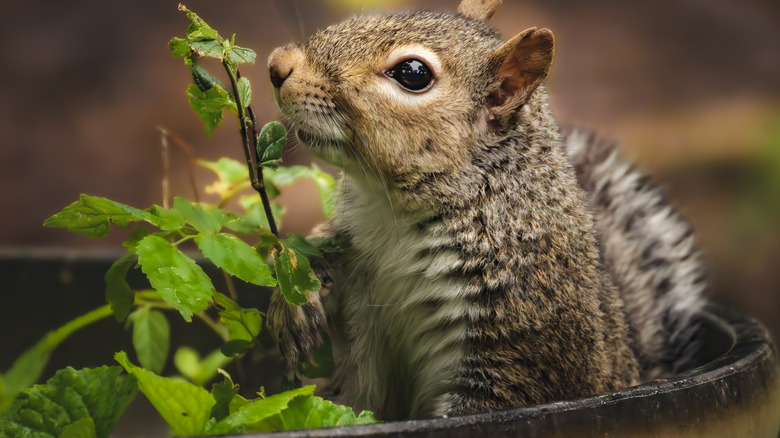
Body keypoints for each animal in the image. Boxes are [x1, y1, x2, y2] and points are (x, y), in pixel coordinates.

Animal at [266, 0, 707, 421]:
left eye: (412, 73)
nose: (277, 65)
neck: (394, 212)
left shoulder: (513, 342)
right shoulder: (355, 246)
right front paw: (294, 301)